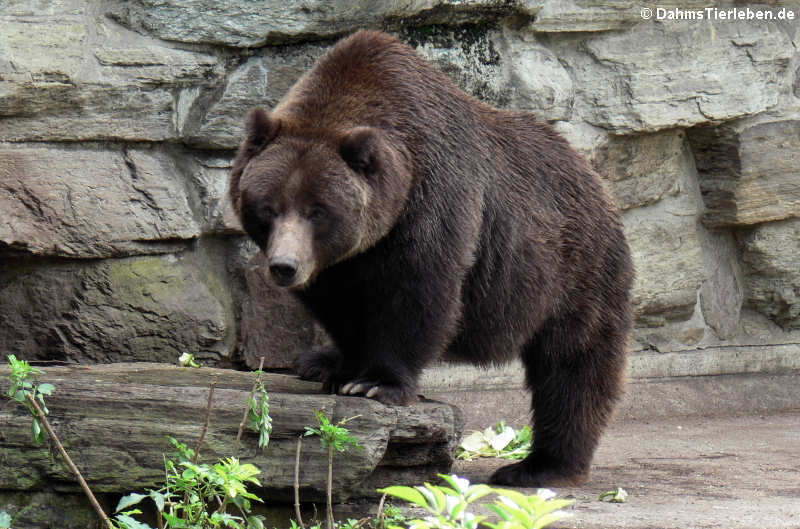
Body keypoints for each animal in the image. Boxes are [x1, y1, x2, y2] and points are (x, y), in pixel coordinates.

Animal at [228, 31, 636, 486]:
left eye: (317, 210)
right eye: (268, 207)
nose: (285, 266)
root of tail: (595, 177)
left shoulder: (432, 206)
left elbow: (417, 298)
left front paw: (377, 384)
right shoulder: (341, 266)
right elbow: (343, 312)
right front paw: (343, 368)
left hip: (573, 268)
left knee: (573, 362)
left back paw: (541, 465)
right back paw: (316, 360)